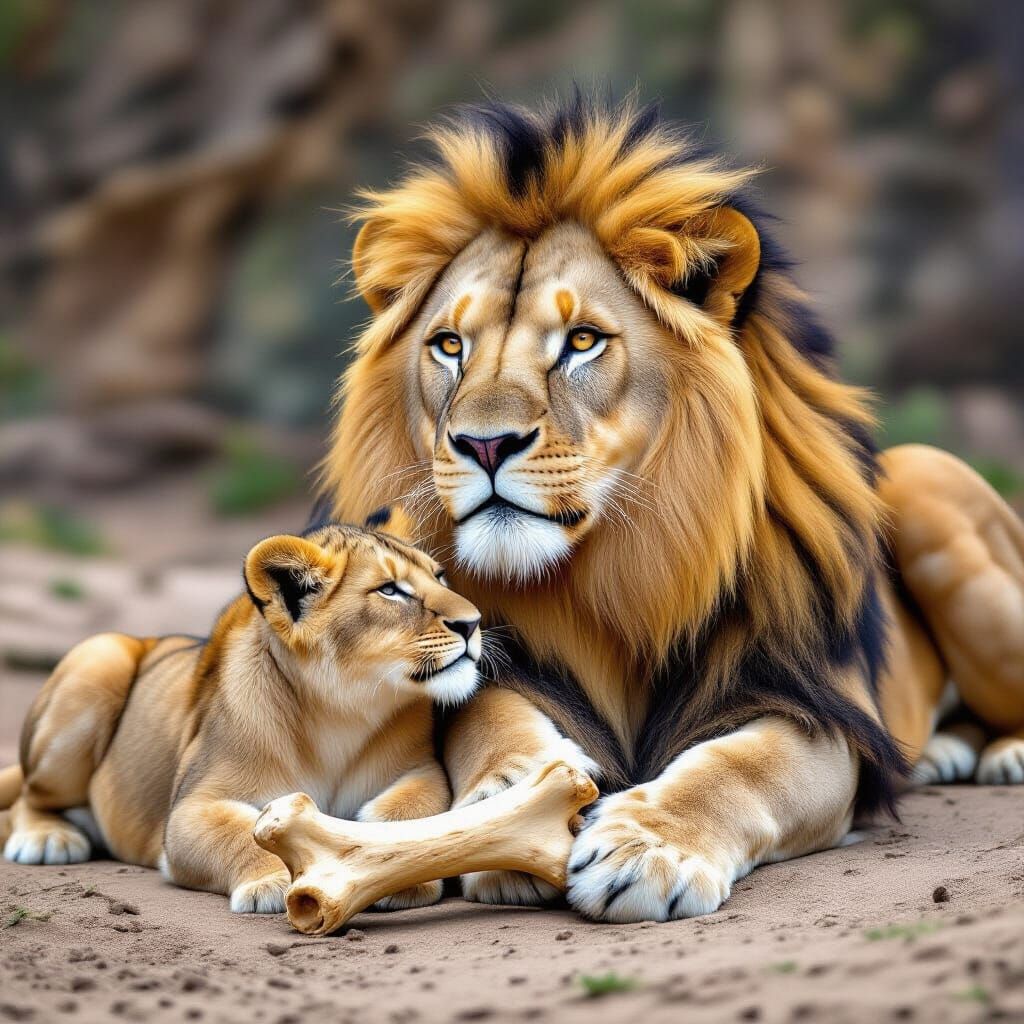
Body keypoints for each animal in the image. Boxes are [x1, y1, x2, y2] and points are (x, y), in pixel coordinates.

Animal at [320, 96, 1024, 921]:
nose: (484, 444)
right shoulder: (495, 666)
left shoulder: (813, 706)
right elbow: (487, 717)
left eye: (582, 341)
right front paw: (510, 799)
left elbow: (740, 767)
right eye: (450, 346)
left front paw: (646, 848)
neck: (614, 579)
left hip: (930, 493)